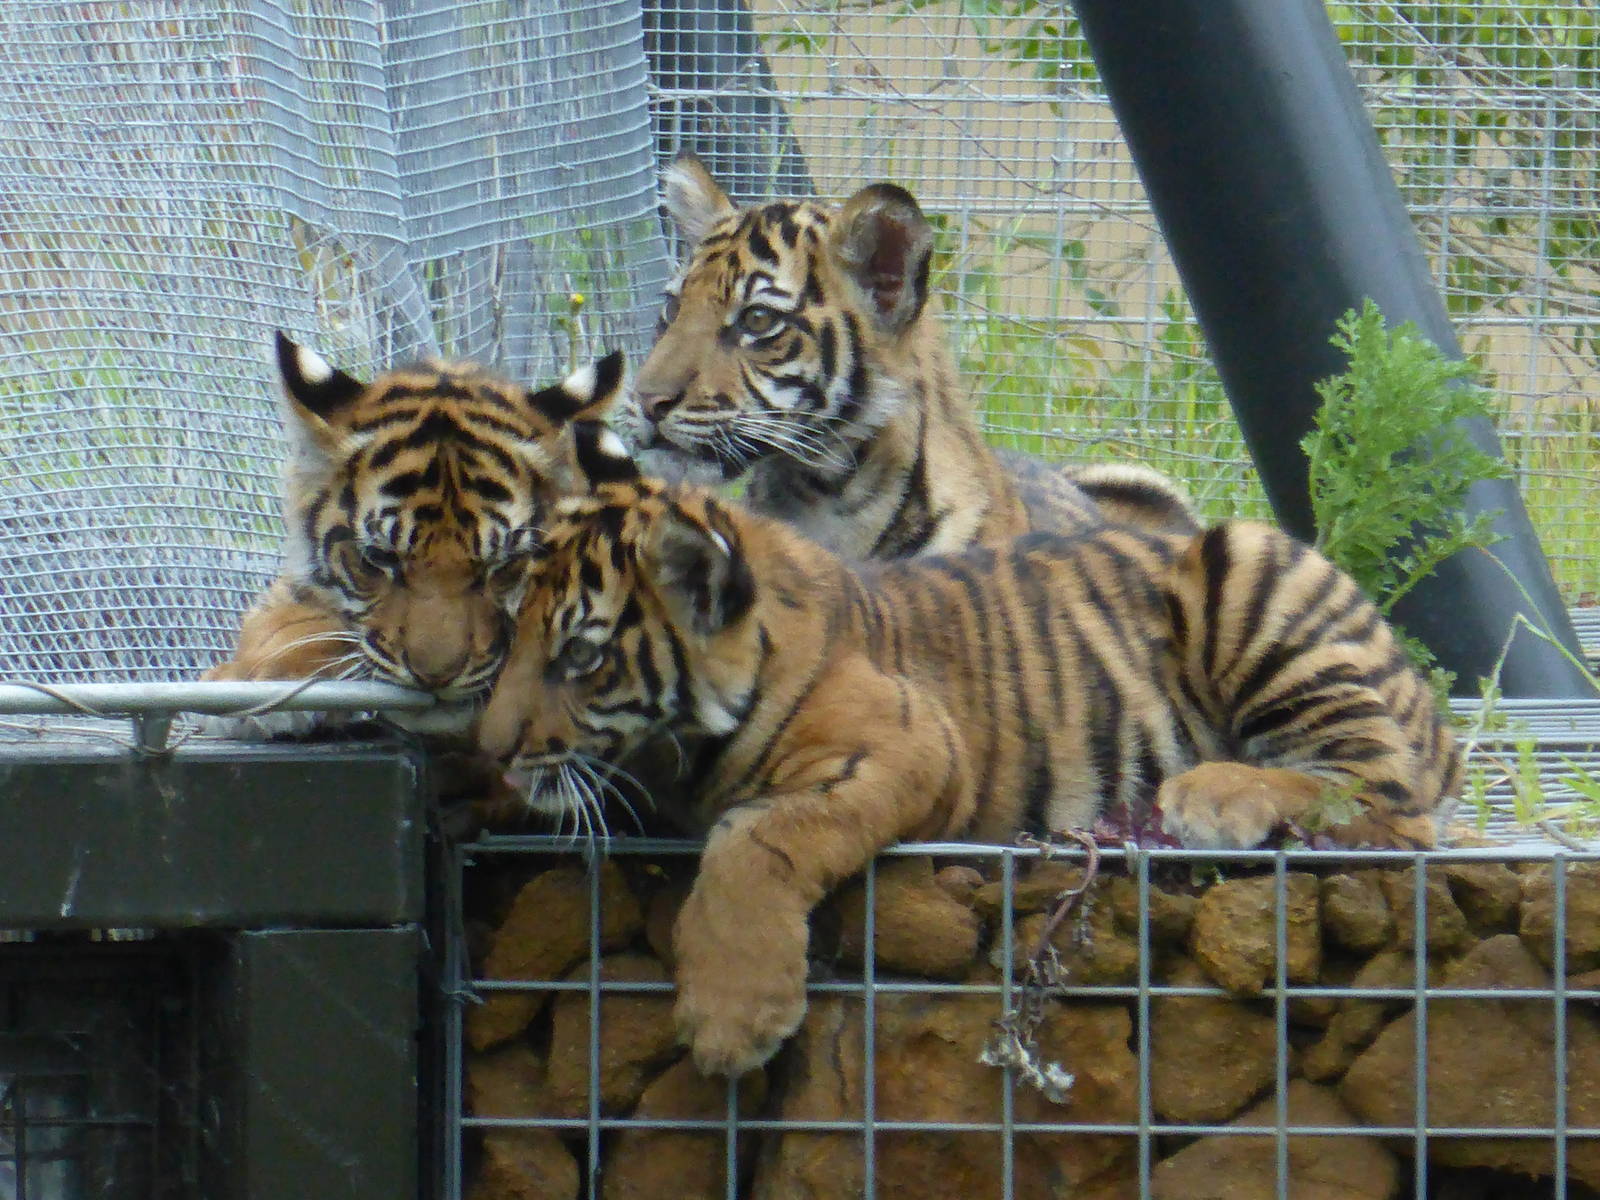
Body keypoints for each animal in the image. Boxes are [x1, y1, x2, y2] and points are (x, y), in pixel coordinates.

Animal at [475, 441, 1461, 1076]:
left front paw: (730, 1020)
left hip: (1245, 560)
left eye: (579, 656)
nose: (491, 748)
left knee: (1389, 800)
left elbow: (755, 844)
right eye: (510, 631)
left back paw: (1213, 794)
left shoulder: (908, 746)